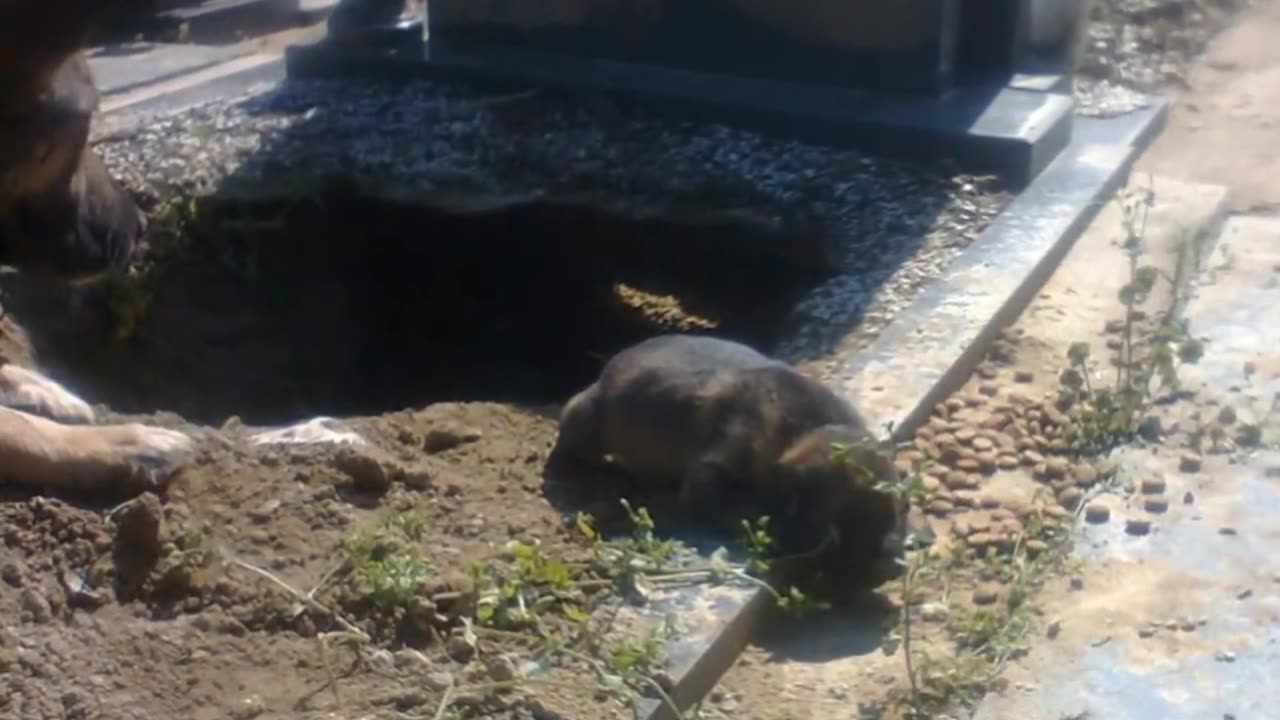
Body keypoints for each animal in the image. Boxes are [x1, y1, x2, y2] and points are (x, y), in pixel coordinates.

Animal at [555, 333, 906, 579]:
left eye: (902, 506)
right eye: (836, 521)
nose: (893, 563)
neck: (801, 429)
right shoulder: (713, 467)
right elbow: (732, 506)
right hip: (583, 418)